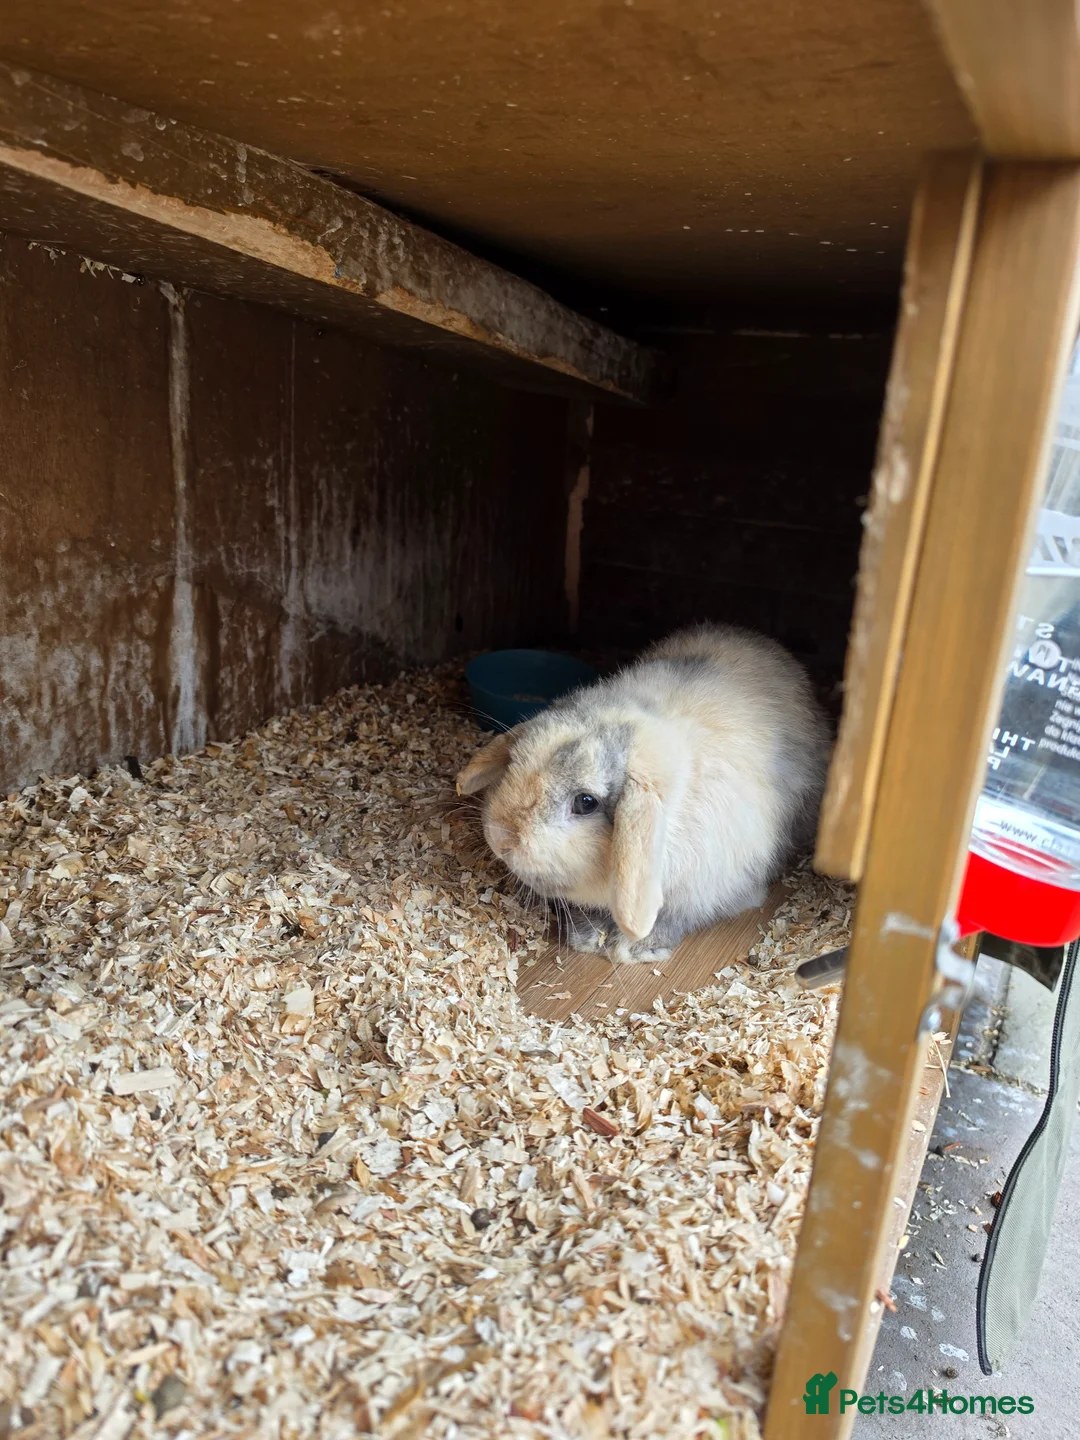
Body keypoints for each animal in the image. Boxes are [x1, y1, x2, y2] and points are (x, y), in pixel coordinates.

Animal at [456, 624, 832, 964]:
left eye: (585, 803)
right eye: (516, 760)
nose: (500, 838)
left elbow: (675, 917)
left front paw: (637, 947)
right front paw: (588, 936)